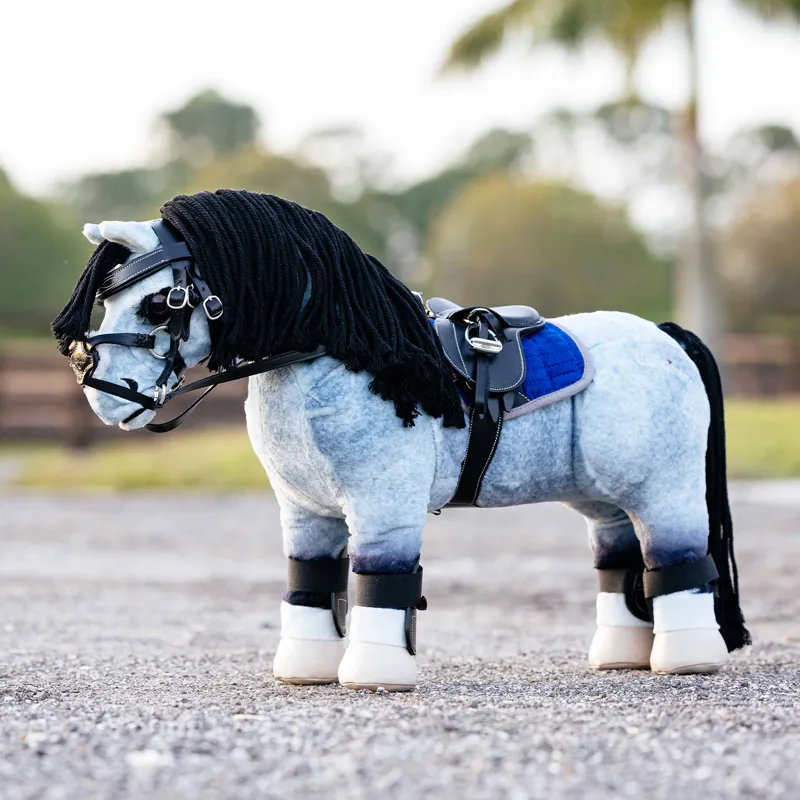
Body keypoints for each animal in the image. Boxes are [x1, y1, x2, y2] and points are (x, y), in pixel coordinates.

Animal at [52, 189, 749, 692]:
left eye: (159, 304)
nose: (103, 393)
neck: (343, 352)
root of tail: (664, 336)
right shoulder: (304, 512)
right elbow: (310, 580)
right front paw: (306, 670)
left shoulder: (383, 506)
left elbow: (378, 581)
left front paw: (374, 676)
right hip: (603, 498)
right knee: (620, 559)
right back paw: (621, 658)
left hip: (664, 489)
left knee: (677, 560)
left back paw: (686, 658)